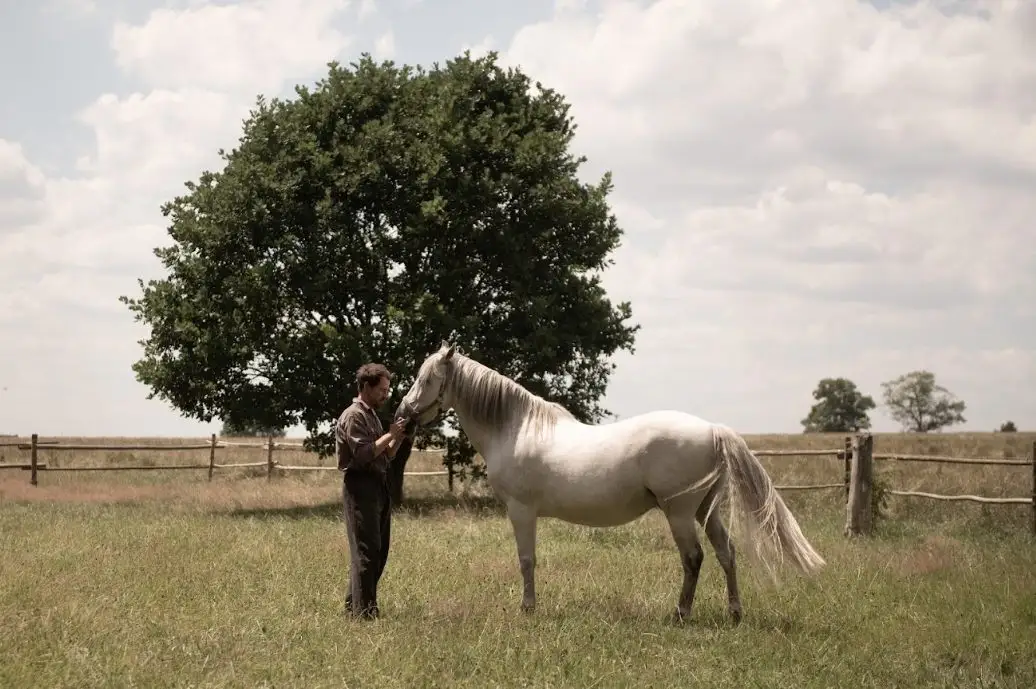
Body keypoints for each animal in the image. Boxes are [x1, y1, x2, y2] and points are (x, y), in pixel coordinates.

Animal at [395, 341, 824, 621]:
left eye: (425, 378)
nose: (401, 414)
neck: (515, 428)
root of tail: (713, 430)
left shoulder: (521, 511)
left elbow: (526, 560)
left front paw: (527, 609)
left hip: (680, 513)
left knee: (694, 558)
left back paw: (681, 613)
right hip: (707, 509)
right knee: (726, 552)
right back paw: (734, 613)